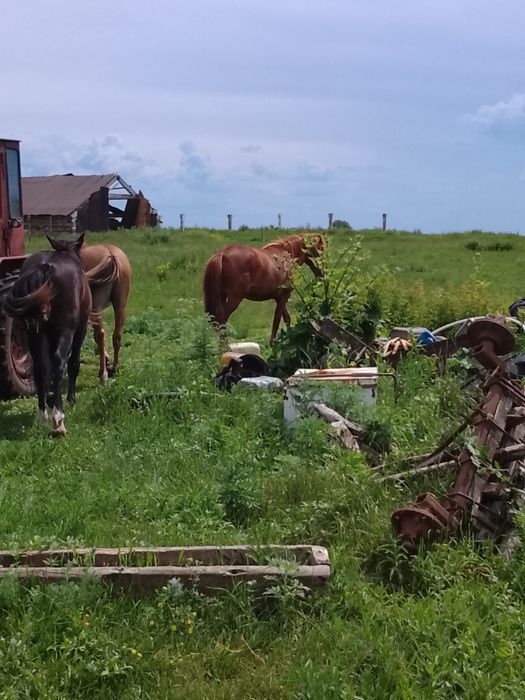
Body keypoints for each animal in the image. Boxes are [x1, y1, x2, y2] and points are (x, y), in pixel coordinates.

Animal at [3, 235, 91, 436]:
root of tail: (45, 267)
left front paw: (51, 398)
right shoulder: (80, 329)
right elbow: (73, 363)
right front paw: (70, 399)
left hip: (34, 332)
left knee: (40, 367)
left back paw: (42, 414)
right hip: (65, 330)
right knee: (59, 364)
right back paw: (58, 419)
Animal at [80, 243, 132, 383]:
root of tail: (111, 255)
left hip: (96, 306)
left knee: (101, 335)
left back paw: (103, 374)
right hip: (120, 305)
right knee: (117, 335)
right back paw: (115, 368)